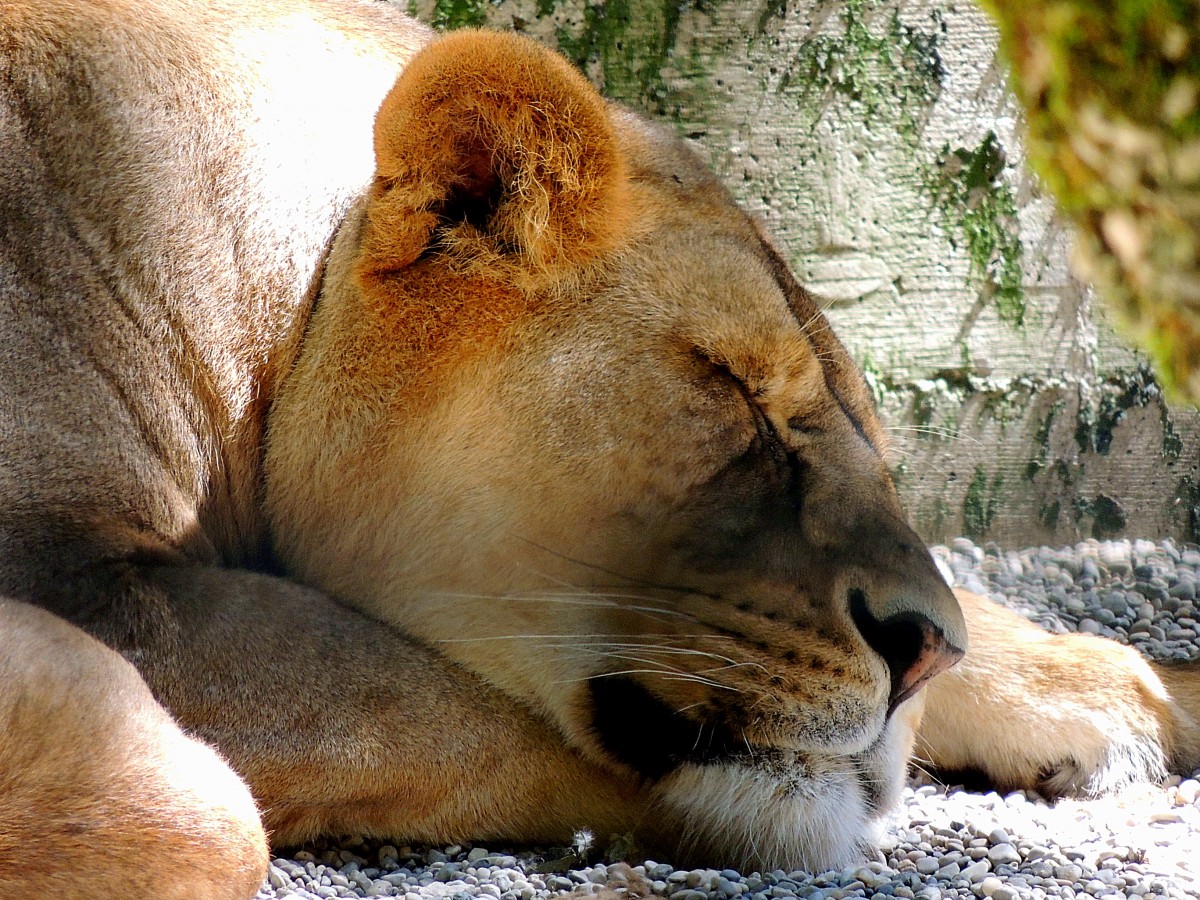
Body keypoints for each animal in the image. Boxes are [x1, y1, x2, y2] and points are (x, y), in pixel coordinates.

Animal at [0, 0, 1195, 897]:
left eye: (881, 442)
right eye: (733, 391)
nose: (924, 653)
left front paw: (1124, 684)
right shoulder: (73, 576)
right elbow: (401, 718)